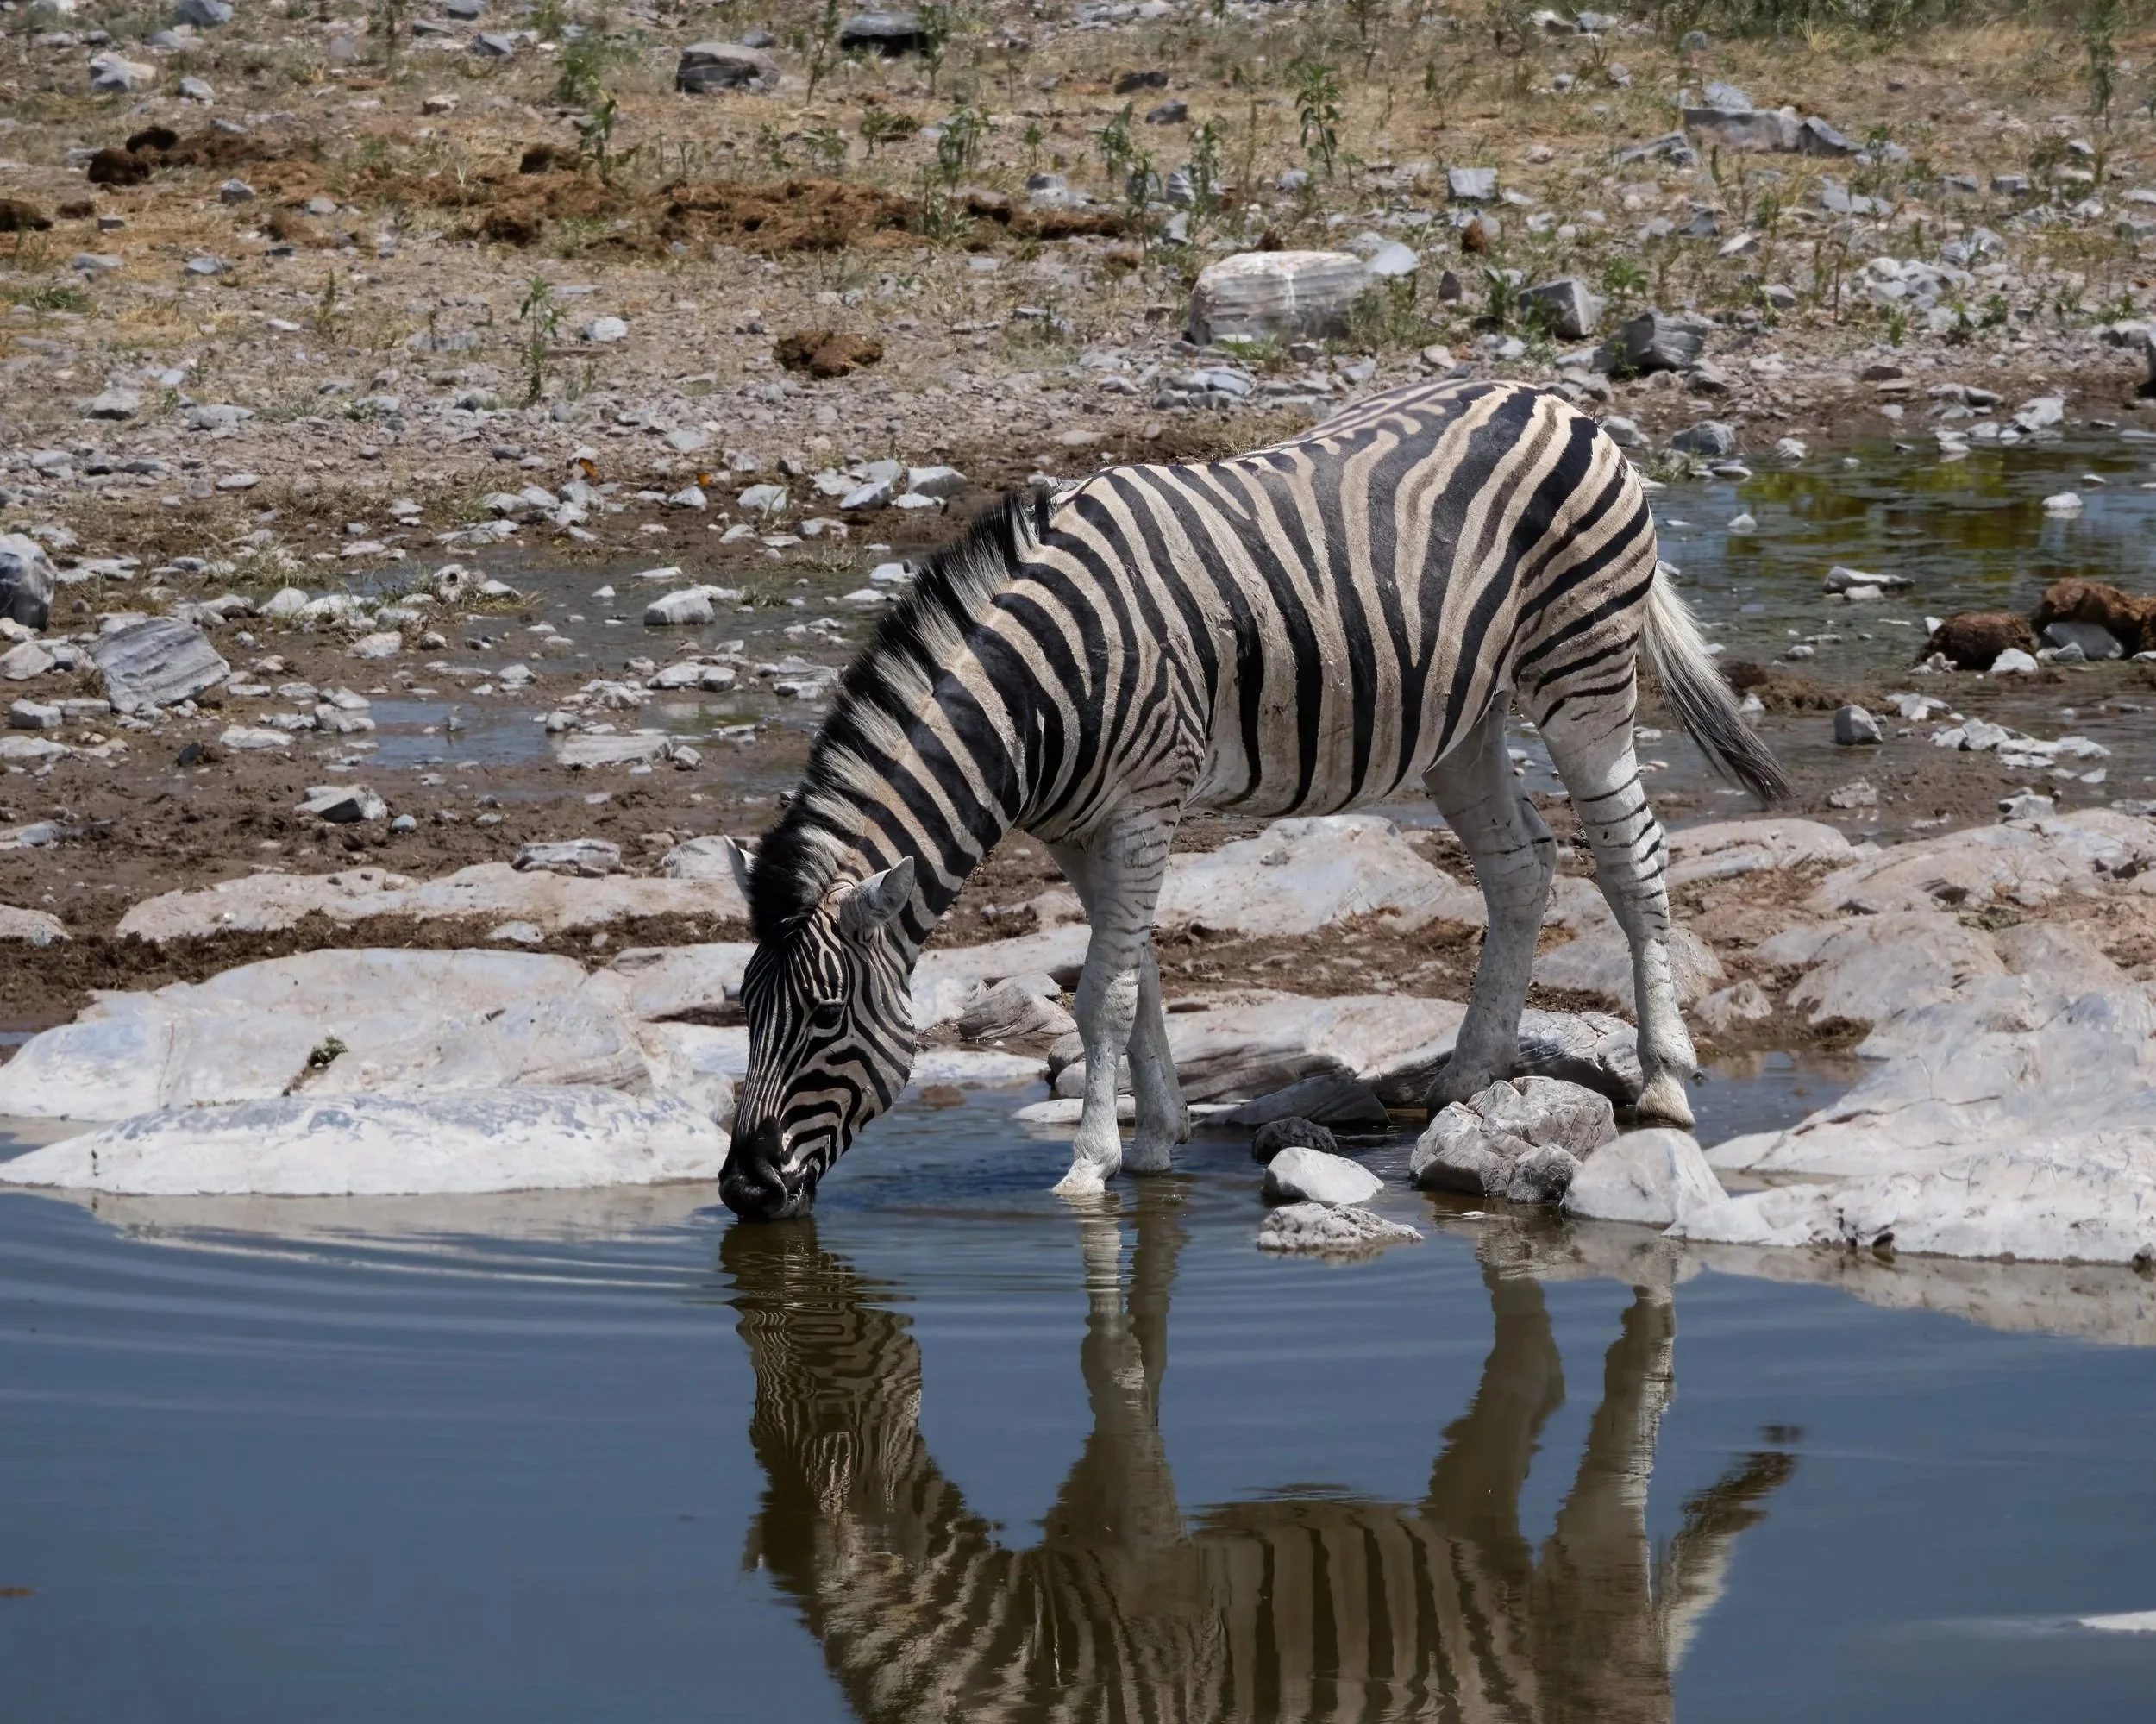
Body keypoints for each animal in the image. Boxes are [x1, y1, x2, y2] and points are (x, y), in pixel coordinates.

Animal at [718, 377, 1786, 1222]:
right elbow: (1136, 972)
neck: (1035, 700)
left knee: (1630, 857)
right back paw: (1468, 1074)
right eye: (743, 1011)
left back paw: (1664, 1081)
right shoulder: (1078, 825)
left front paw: (1088, 1165)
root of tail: (1557, 400)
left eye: (822, 1018)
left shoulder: (1145, 797)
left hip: (1583, 675)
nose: (743, 1190)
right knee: (1521, 867)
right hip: (1464, 718)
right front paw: (1156, 1137)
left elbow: (1103, 989)